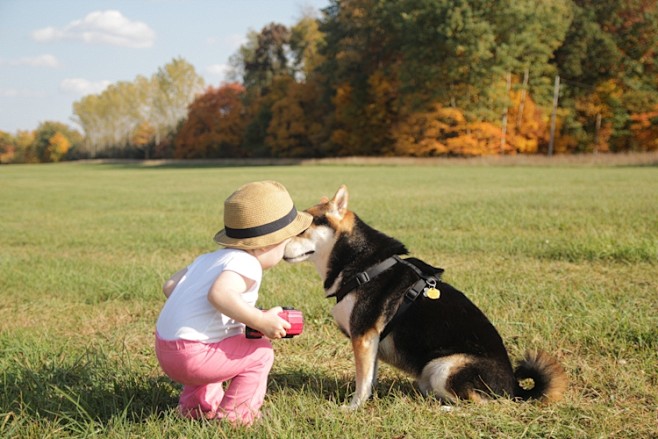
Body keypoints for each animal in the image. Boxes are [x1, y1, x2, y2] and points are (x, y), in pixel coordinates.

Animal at [284, 185, 568, 410]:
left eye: (303, 228)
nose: (278, 246)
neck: (361, 264)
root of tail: (515, 388)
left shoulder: (363, 335)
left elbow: (361, 382)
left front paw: (353, 408)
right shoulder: (371, 340)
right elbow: (369, 377)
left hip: (444, 367)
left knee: (484, 404)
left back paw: (446, 409)